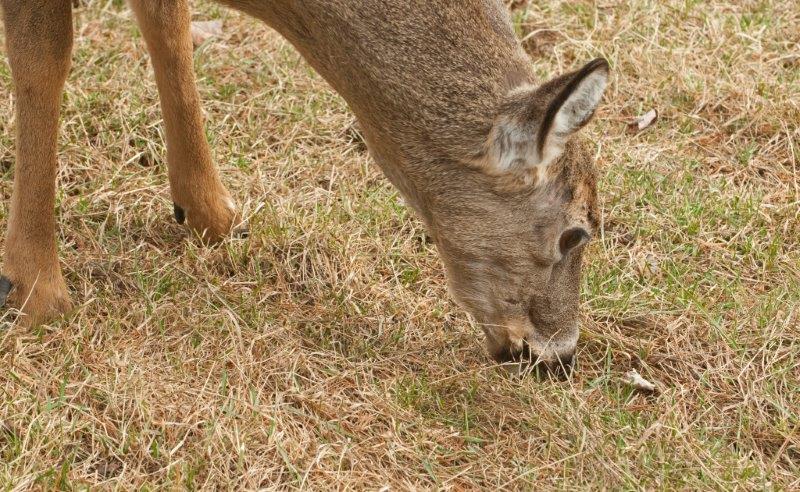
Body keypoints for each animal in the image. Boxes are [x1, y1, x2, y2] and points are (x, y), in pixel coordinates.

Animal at [0, 0, 608, 374]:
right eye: (574, 233)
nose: (560, 355)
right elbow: (44, 54)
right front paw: (36, 287)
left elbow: (167, 20)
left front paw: (210, 211)